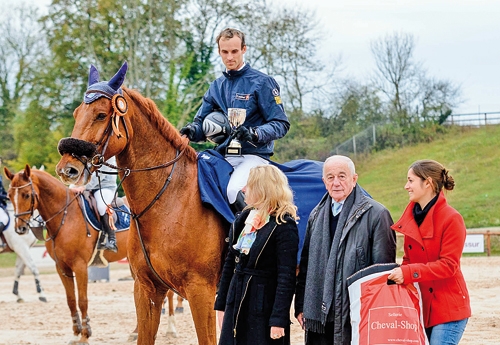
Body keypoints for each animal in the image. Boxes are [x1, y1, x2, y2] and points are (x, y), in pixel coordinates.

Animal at [4, 165, 129, 342]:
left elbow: (82, 300)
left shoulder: (80, 266)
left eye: (26, 194)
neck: (66, 216)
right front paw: (76, 333)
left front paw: (85, 335)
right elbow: (71, 300)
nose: (19, 228)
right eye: (9, 195)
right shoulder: (62, 267)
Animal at [55, 62, 226, 344]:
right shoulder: (147, 290)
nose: (67, 169)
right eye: (76, 113)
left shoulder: (201, 292)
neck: (170, 201)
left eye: (101, 115)